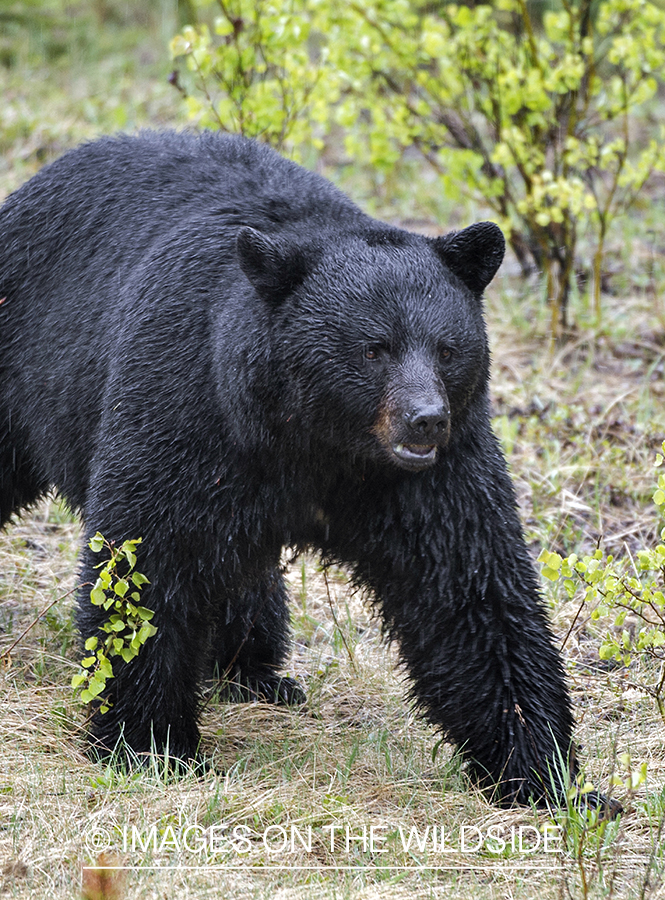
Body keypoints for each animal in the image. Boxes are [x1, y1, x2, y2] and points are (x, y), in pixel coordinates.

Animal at [0, 130, 574, 806]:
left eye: (447, 348)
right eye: (374, 349)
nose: (426, 420)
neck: (315, 442)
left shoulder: (433, 477)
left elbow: (469, 588)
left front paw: (546, 774)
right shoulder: (189, 409)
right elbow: (148, 563)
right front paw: (148, 743)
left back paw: (256, 675)